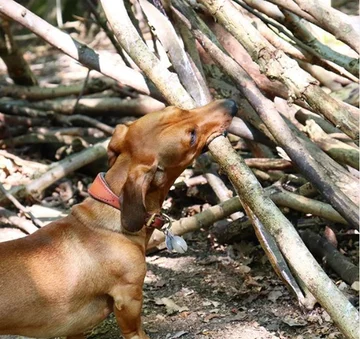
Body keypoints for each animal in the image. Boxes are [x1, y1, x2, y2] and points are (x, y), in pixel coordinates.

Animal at [0, 100, 236, 339]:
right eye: (192, 137)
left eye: (179, 109)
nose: (232, 104)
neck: (112, 215)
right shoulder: (129, 298)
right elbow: (136, 331)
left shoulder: (76, 331)